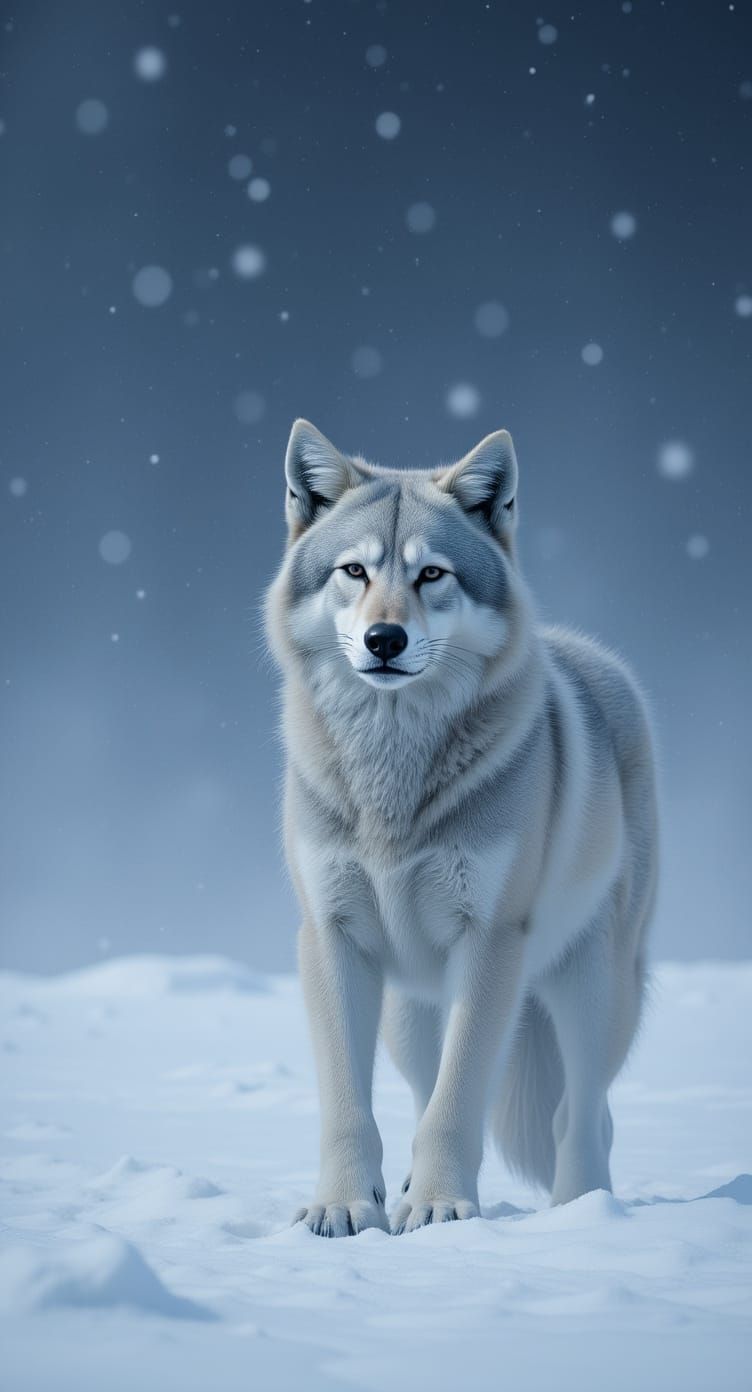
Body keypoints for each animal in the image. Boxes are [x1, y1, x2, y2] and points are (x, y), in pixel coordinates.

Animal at [264, 418, 659, 1237]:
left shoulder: (491, 941)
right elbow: (350, 1105)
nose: (384, 639)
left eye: (432, 575)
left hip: (592, 990)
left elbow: (460, 1100)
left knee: (584, 1112)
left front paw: (444, 1209)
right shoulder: (331, 937)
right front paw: (346, 1207)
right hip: (410, 1011)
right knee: (423, 1085)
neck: (391, 774)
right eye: (354, 571)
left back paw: (584, 1212)